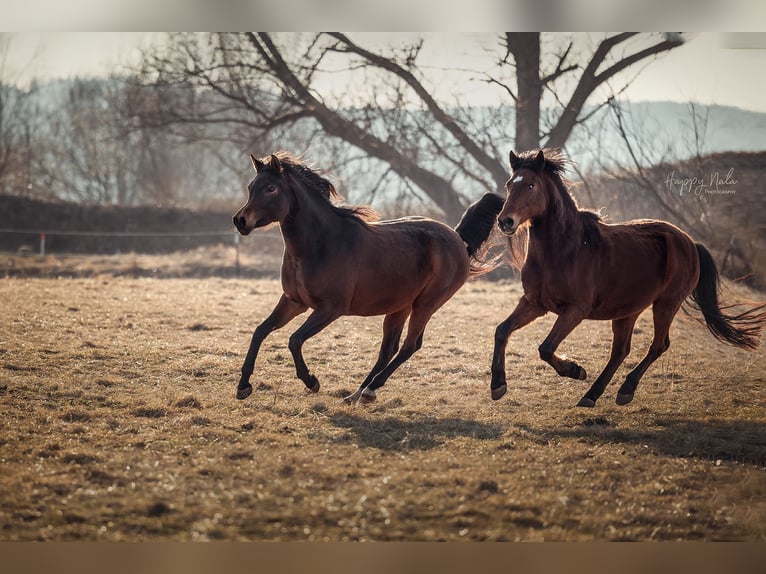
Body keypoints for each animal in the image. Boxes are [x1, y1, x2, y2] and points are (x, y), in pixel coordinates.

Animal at [231, 153, 500, 404]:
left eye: (271, 188)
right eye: (251, 187)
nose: (240, 221)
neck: (320, 243)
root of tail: (457, 238)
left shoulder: (331, 308)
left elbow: (294, 340)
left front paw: (312, 381)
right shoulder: (294, 301)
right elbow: (260, 331)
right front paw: (243, 386)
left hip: (426, 305)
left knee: (409, 346)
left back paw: (371, 388)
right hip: (399, 307)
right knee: (388, 349)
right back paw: (358, 393)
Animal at [484, 150, 764, 410]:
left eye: (531, 185)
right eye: (509, 184)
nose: (505, 221)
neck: (564, 249)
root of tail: (691, 242)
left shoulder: (575, 310)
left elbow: (546, 348)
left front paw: (575, 370)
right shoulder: (534, 303)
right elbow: (501, 331)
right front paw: (498, 385)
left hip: (666, 304)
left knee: (658, 345)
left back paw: (625, 390)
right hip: (628, 311)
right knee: (621, 350)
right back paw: (591, 395)